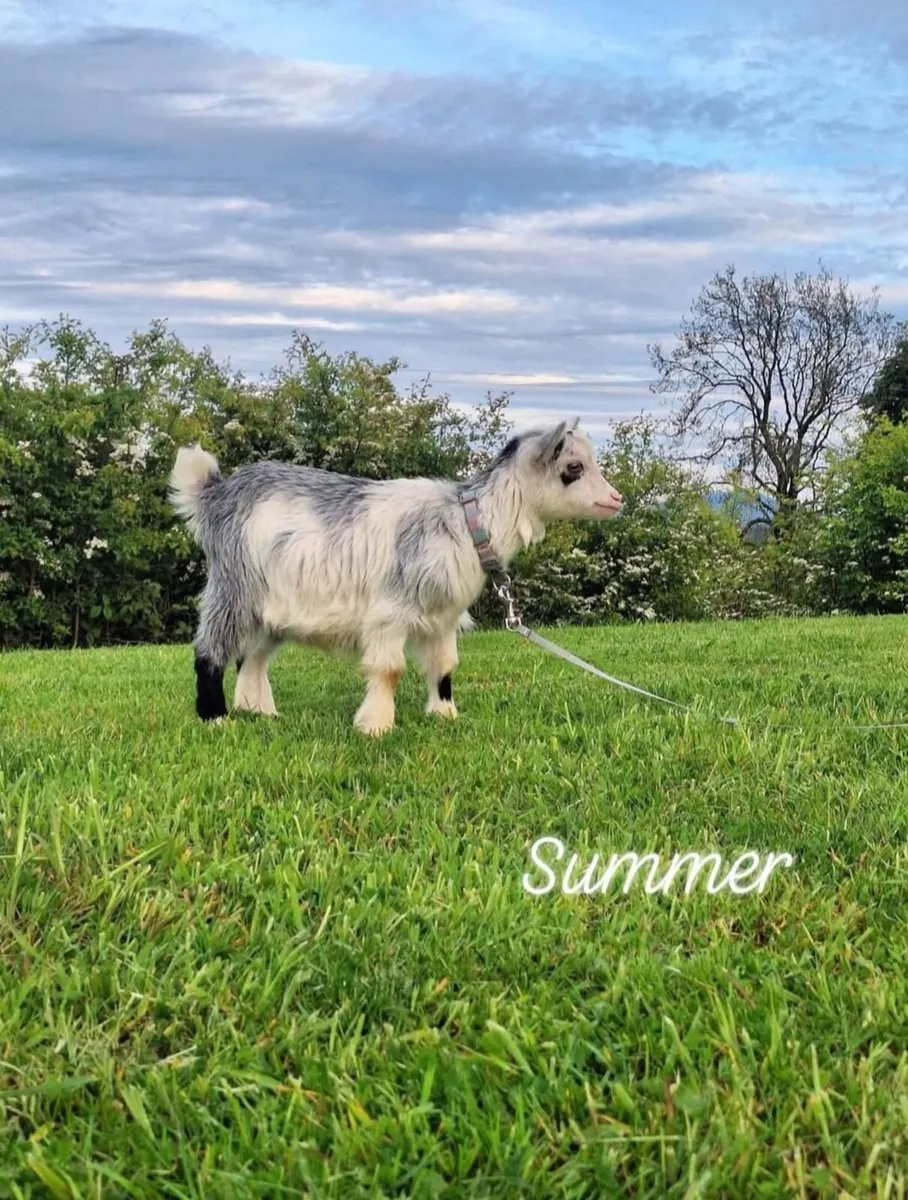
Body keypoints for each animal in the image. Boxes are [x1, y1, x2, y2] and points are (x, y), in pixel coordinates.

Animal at [169, 421, 623, 736]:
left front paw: (445, 715)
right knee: (210, 651)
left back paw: (259, 710)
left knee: (253, 656)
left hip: (271, 609)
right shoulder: (390, 612)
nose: (616, 499)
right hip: (233, 587)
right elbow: (388, 669)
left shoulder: (442, 618)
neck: (465, 520)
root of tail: (215, 495)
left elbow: (444, 666)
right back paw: (216, 718)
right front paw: (375, 727)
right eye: (574, 467)